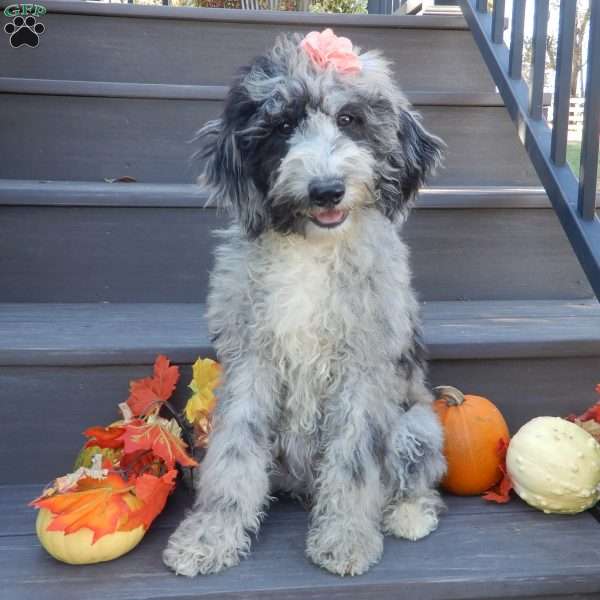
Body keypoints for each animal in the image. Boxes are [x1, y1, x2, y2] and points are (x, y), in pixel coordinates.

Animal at [163, 30, 446, 580]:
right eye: (283, 125)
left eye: (350, 119)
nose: (326, 190)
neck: (313, 249)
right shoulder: (250, 360)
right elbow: (233, 453)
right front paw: (210, 536)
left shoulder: (363, 369)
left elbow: (355, 462)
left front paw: (346, 539)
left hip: (418, 424)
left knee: (414, 473)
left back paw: (408, 513)